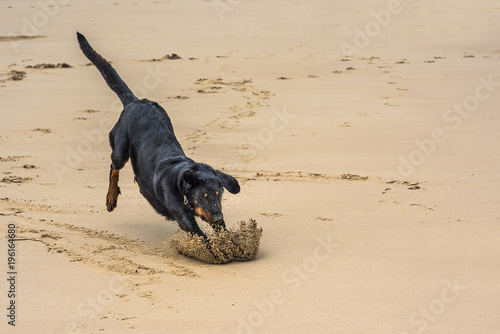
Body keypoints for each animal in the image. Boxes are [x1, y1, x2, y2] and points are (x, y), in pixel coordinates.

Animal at [77, 32, 241, 237]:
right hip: (120, 149)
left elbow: (223, 233)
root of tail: (135, 101)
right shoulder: (184, 217)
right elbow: (202, 237)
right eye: (203, 196)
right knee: (114, 167)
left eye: (219, 195)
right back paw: (111, 198)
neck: (180, 183)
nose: (218, 217)